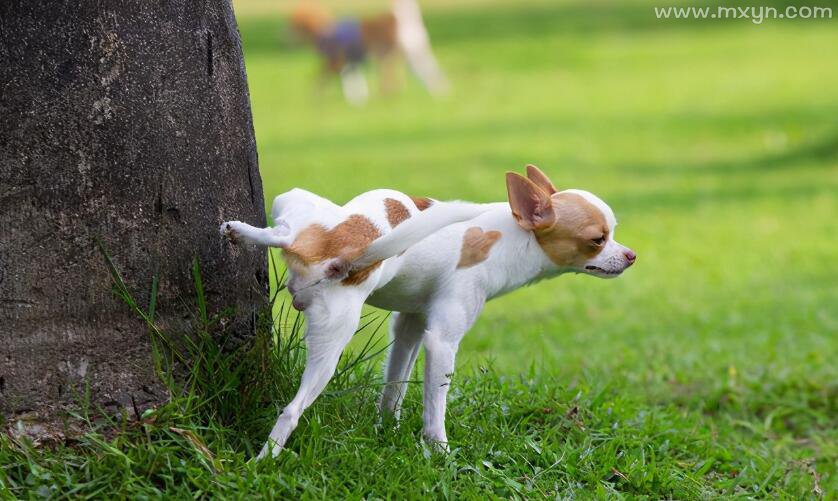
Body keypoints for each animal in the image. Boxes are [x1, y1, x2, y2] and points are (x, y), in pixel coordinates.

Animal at [221, 166, 636, 458]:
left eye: (613, 234)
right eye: (597, 240)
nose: (631, 255)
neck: (511, 236)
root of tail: (345, 253)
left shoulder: (410, 326)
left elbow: (395, 385)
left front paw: (385, 429)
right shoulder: (441, 341)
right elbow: (435, 407)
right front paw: (439, 453)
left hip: (298, 212)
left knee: (285, 233)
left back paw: (240, 231)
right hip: (335, 331)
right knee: (291, 411)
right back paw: (261, 464)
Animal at [292, 0, 452, 104]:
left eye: (293, 25)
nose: (287, 37)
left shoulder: (336, 63)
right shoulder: (352, 63)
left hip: (386, 56)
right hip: (405, 55)